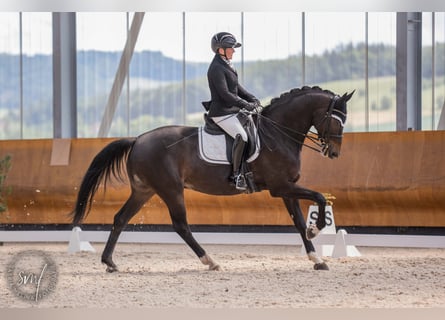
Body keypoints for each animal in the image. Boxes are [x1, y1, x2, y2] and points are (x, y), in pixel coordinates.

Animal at [71, 85, 352, 272]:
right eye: (336, 121)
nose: (334, 153)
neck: (278, 134)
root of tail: (137, 139)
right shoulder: (280, 186)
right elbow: (319, 198)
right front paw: (316, 228)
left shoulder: (287, 188)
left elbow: (298, 222)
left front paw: (317, 259)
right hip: (171, 189)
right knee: (180, 225)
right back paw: (210, 261)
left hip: (144, 191)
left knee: (120, 219)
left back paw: (109, 262)